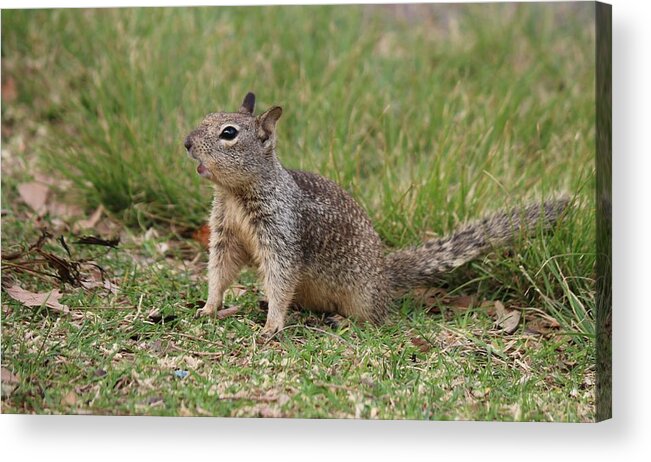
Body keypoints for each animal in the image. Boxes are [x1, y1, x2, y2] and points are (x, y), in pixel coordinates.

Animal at [182, 94, 564, 338]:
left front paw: (272, 325)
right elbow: (220, 269)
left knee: (376, 320)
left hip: (363, 297)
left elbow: (280, 277)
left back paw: (346, 322)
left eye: (228, 133)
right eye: (206, 117)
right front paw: (209, 306)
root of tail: (385, 275)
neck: (234, 195)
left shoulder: (282, 233)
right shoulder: (225, 232)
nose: (186, 142)